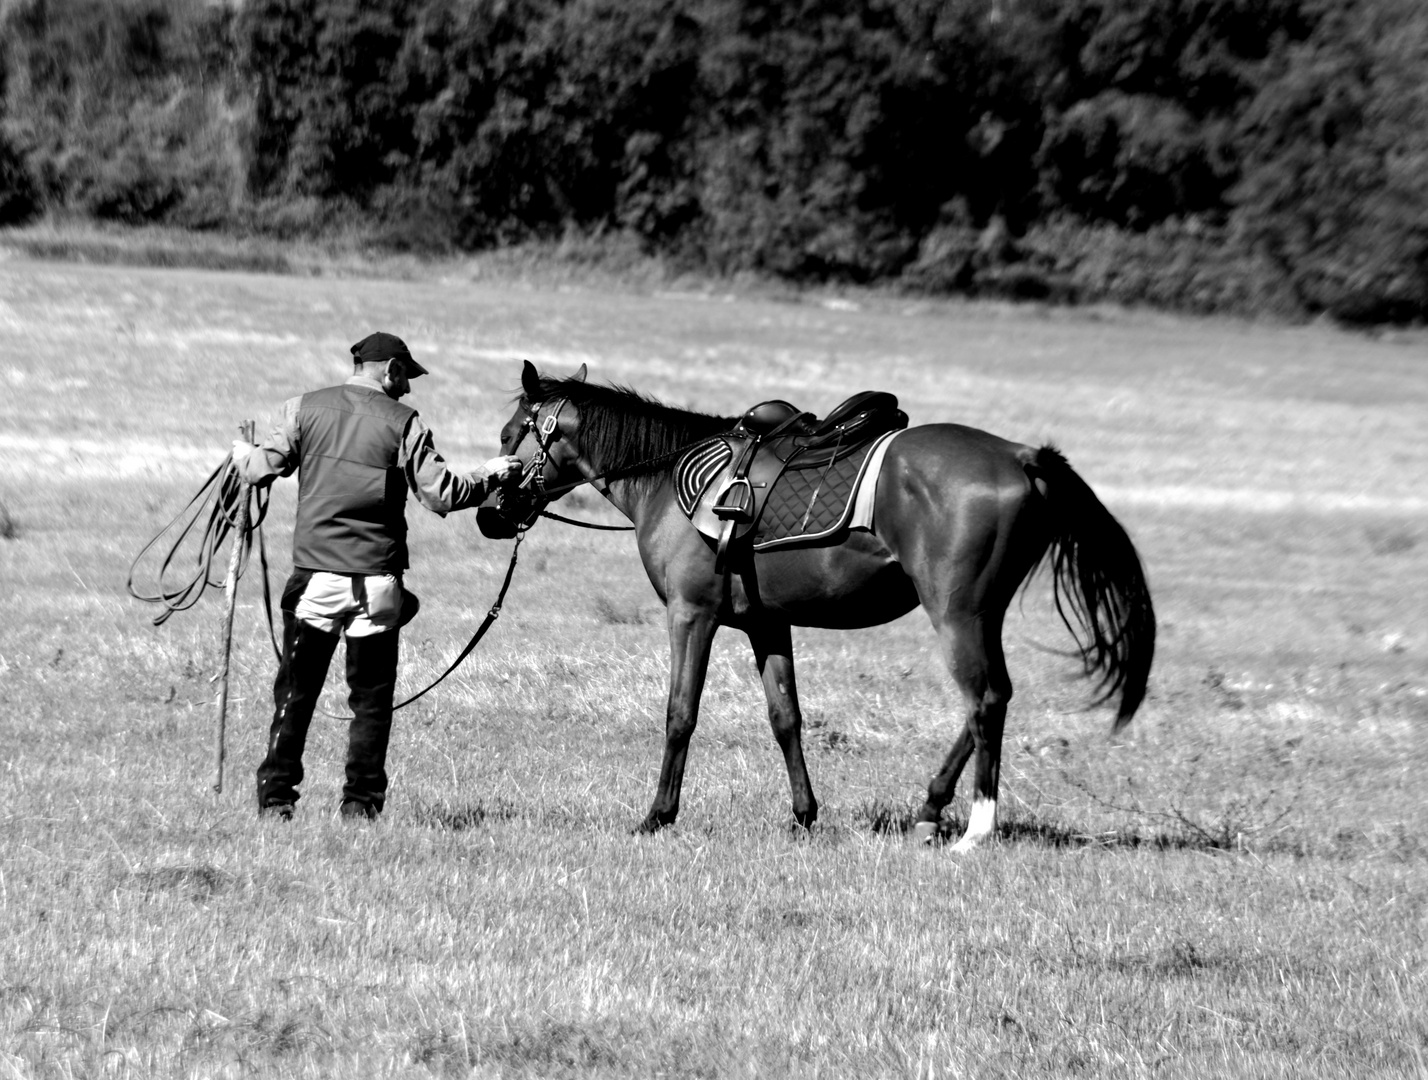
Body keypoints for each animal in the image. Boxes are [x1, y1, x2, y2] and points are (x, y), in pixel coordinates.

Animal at [485, 362, 1153, 851]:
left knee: (984, 699)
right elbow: (786, 719)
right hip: (981, 615)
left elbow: (680, 714)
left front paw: (658, 815)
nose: (492, 514)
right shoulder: (767, 623)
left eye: (507, 436)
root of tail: (1019, 455)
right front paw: (803, 815)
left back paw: (975, 829)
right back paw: (930, 807)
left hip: (957, 613)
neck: (666, 477)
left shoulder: (691, 615)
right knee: (991, 700)